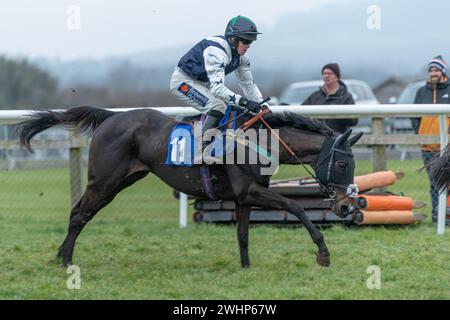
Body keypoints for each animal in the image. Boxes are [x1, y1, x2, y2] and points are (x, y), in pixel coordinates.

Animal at [16, 107, 362, 268]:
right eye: (342, 165)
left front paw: (246, 268)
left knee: (79, 211)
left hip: (120, 180)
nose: (347, 206)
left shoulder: (244, 198)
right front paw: (323, 253)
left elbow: (243, 235)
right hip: (105, 182)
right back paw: (67, 260)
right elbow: (296, 207)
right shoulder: (251, 191)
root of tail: (111, 118)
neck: (260, 141)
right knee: (79, 215)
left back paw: (59, 255)